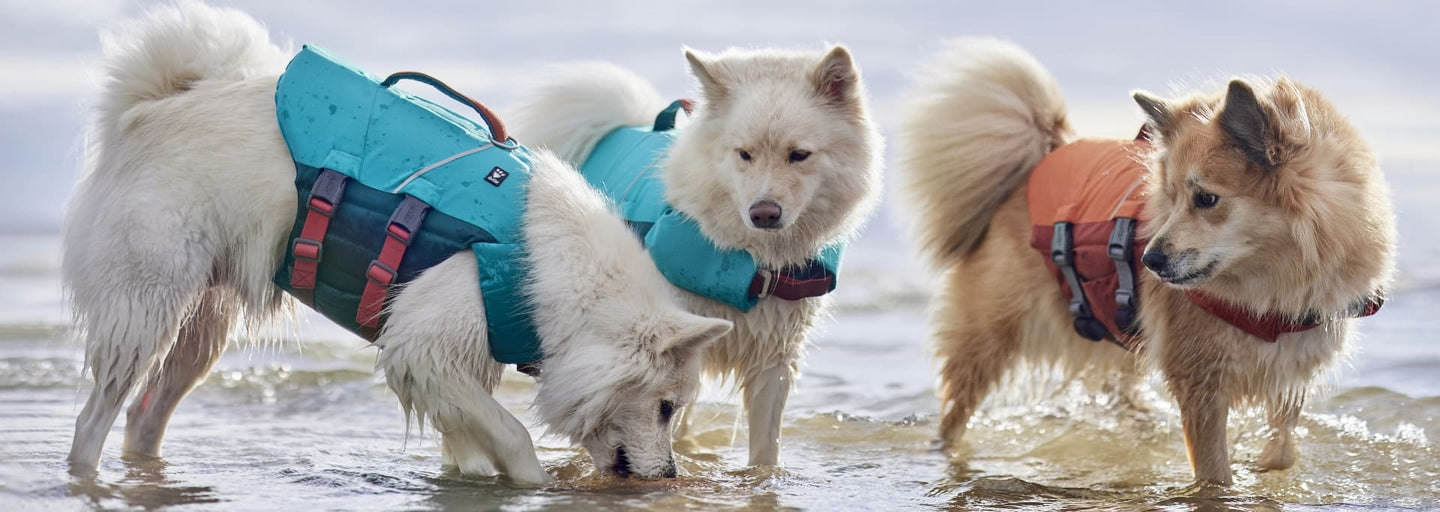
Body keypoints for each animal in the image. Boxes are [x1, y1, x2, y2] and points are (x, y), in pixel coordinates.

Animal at [64, 3, 731, 483]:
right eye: (667, 407)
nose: (670, 476)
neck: (550, 276)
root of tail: (153, 105)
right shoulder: (424, 346)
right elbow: (516, 440)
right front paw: (533, 485)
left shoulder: (454, 371)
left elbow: (471, 446)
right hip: (147, 307)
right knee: (92, 422)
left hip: (201, 327)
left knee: (144, 419)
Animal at [506, 47, 887, 463]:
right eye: (744, 154)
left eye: (799, 155)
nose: (763, 213)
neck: (751, 262)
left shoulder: (775, 357)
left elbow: (765, 449)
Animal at [898, 39, 1393, 483]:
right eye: (1169, 199)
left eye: (1206, 199)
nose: (1150, 260)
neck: (1274, 290)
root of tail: (1042, 156)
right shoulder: (1201, 387)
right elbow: (1216, 476)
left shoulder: (1291, 375)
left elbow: (1283, 453)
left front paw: (1267, 468)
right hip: (986, 339)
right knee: (954, 412)